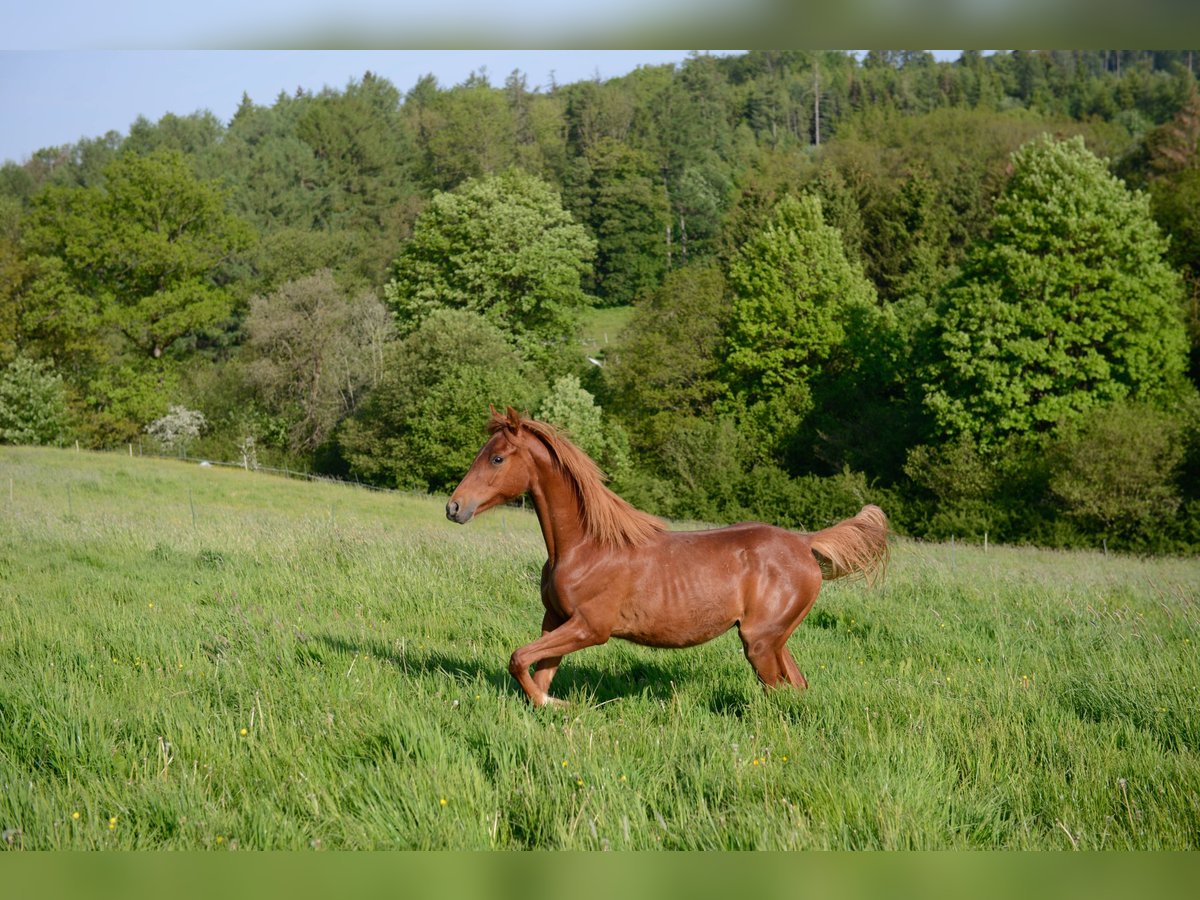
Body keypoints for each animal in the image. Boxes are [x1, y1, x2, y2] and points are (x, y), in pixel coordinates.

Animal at [446, 408, 888, 710]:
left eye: (497, 458)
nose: (454, 507)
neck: (585, 547)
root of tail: (804, 543)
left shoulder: (590, 628)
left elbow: (519, 659)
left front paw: (559, 705)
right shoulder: (555, 620)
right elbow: (536, 671)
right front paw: (550, 708)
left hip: (760, 642)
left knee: (778, 692)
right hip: (775, 639)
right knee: (796, 687)